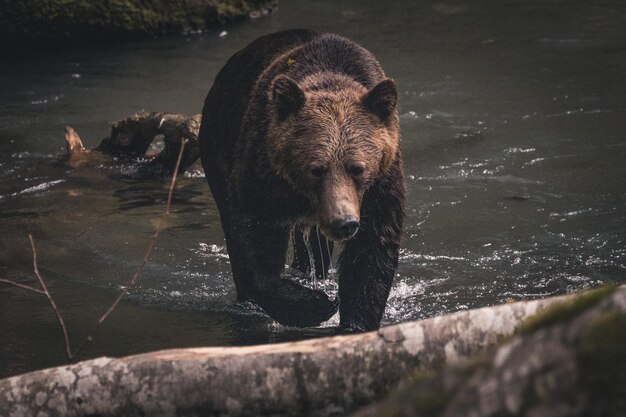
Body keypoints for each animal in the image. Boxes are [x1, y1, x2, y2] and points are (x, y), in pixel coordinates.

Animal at [199, 28, 404, 332]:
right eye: (316, 169)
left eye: (357, 168)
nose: (344, 222)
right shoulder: (261, 169)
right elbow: (253, 235)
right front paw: (316, 304)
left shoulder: (381, 185)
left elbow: (372, 249)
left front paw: (353, 322)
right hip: (218, 138)